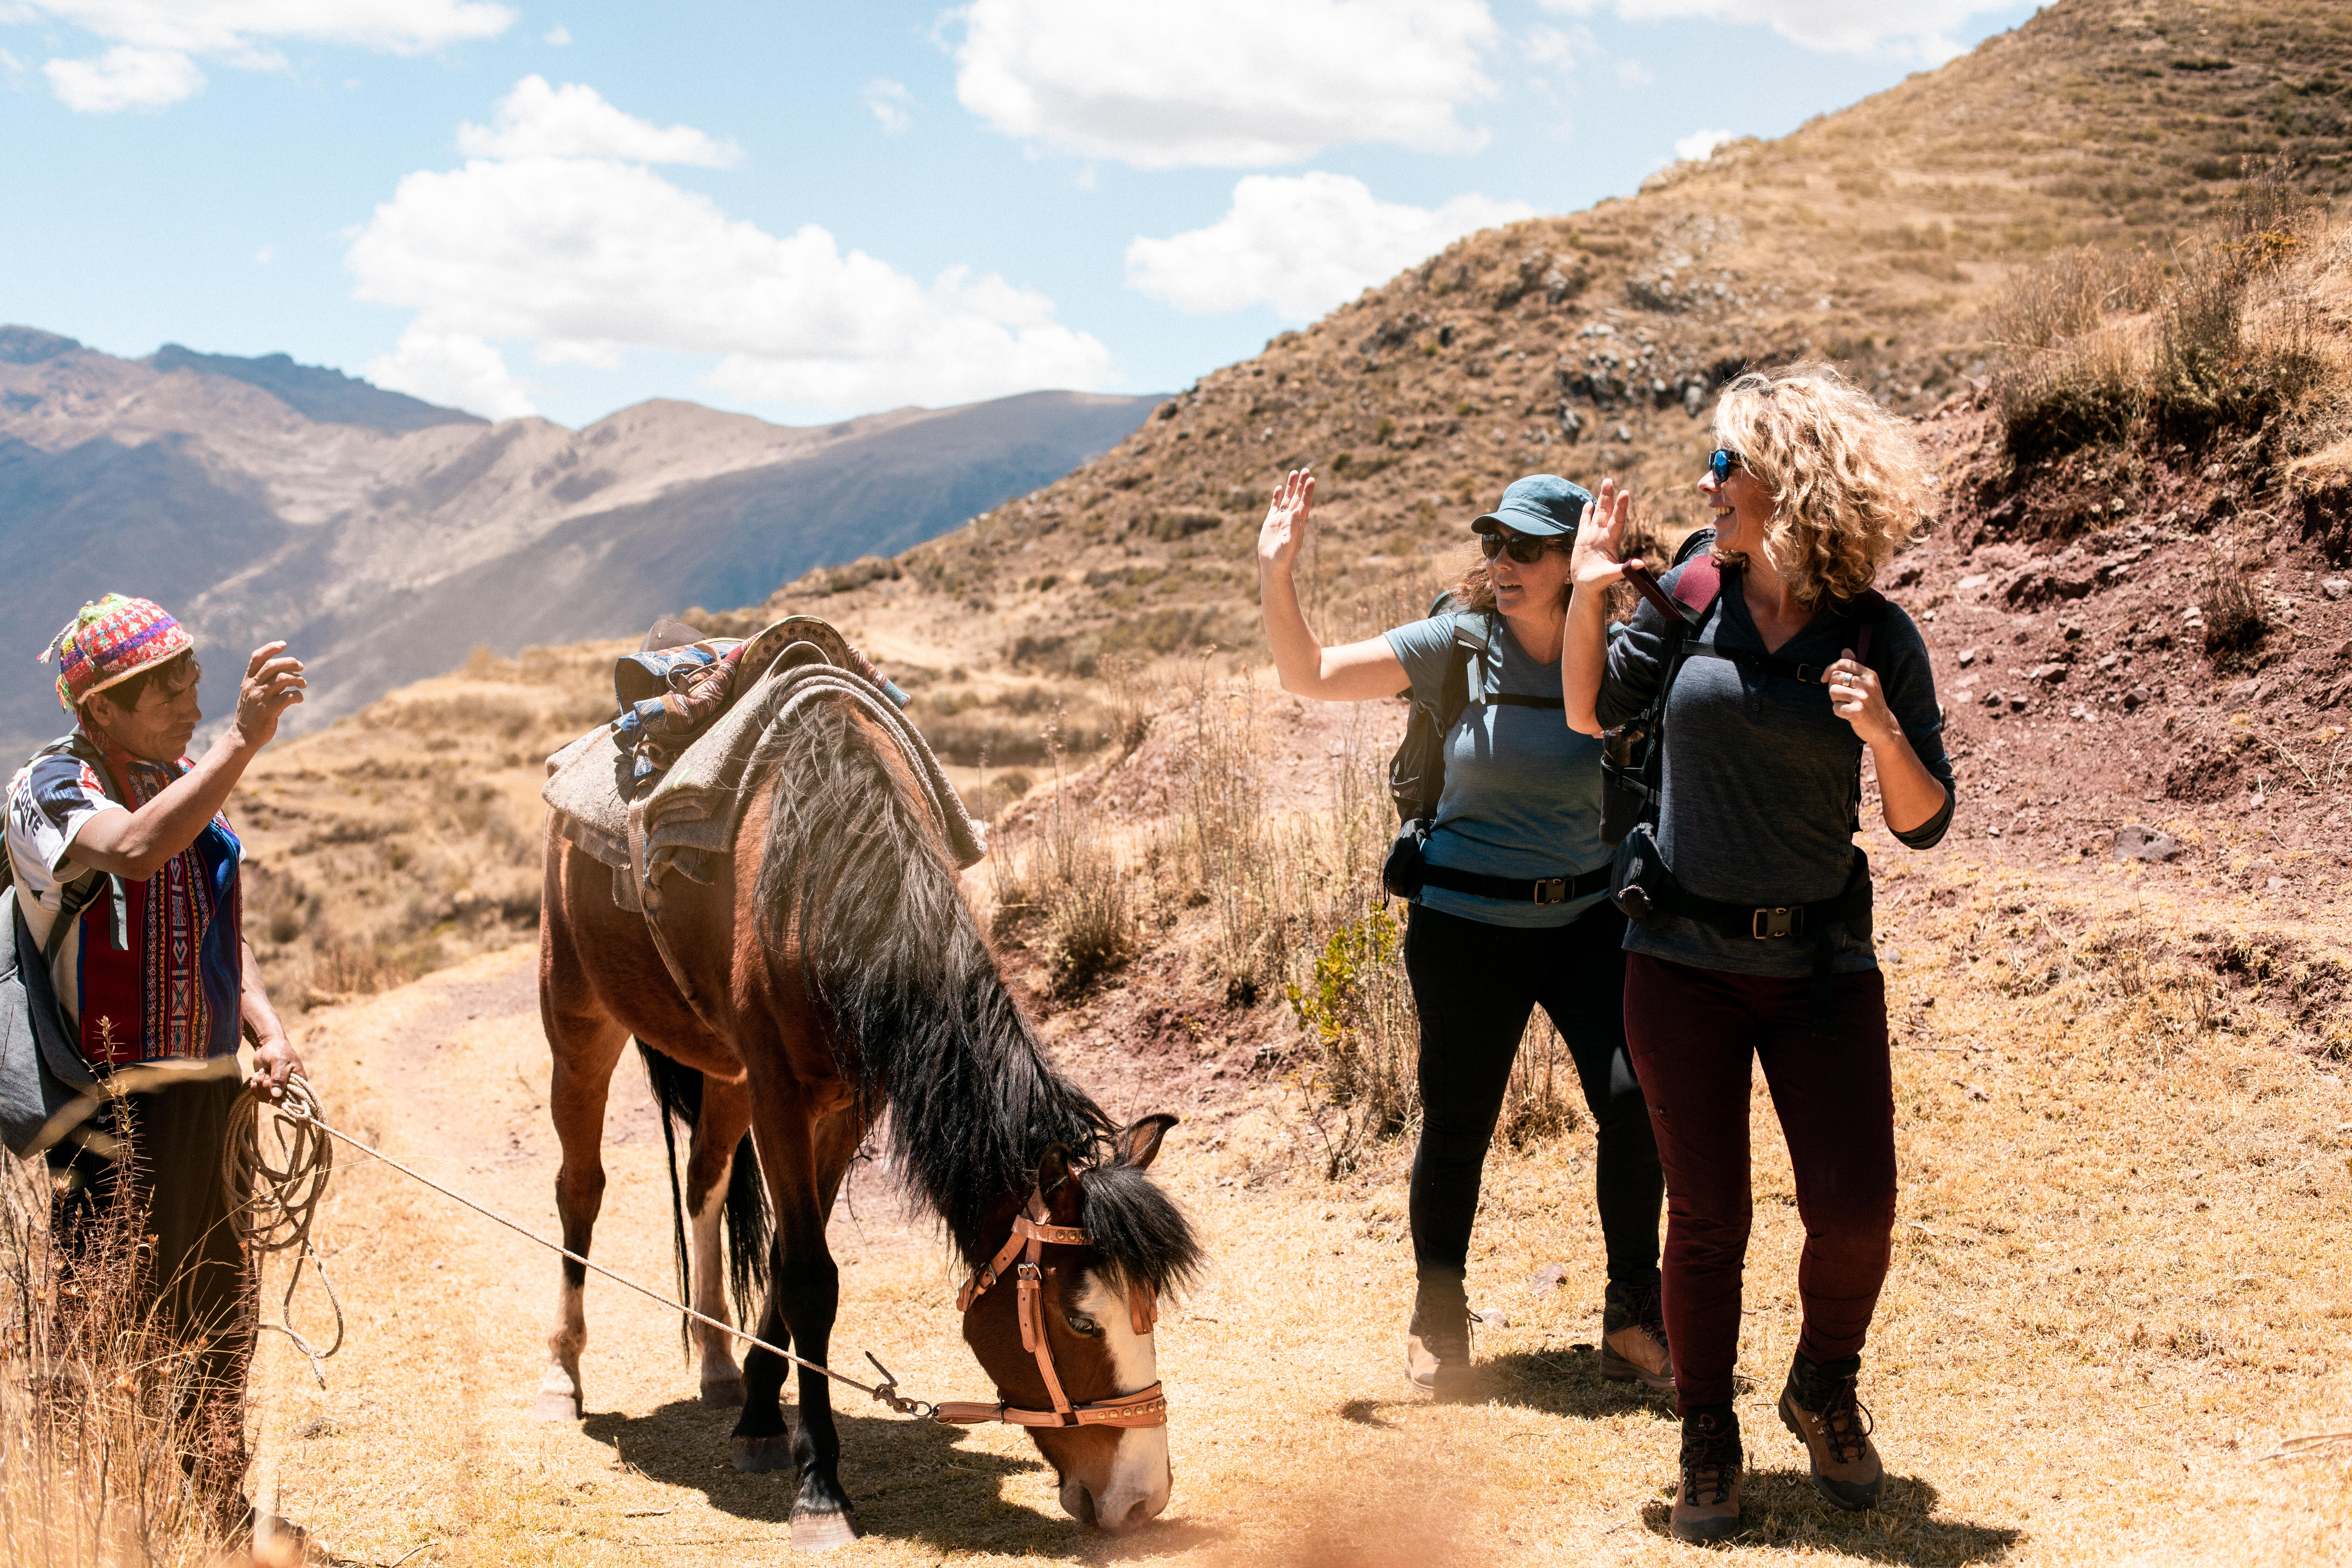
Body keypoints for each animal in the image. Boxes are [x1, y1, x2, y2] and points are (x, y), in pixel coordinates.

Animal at [534, 696, 1195, 1542]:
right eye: (1080, 1323)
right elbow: (810, 1278)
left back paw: (716, 1363)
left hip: (725, 1072)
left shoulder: (850, 1101)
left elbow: (789, 1254)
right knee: (580, 1188)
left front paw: (759, 1417)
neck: (834, 877)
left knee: (705, 1178)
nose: (1144, 1497)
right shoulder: (782, 1094)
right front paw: (819, 1490)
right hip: (577, 1015)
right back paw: (562, 1375)